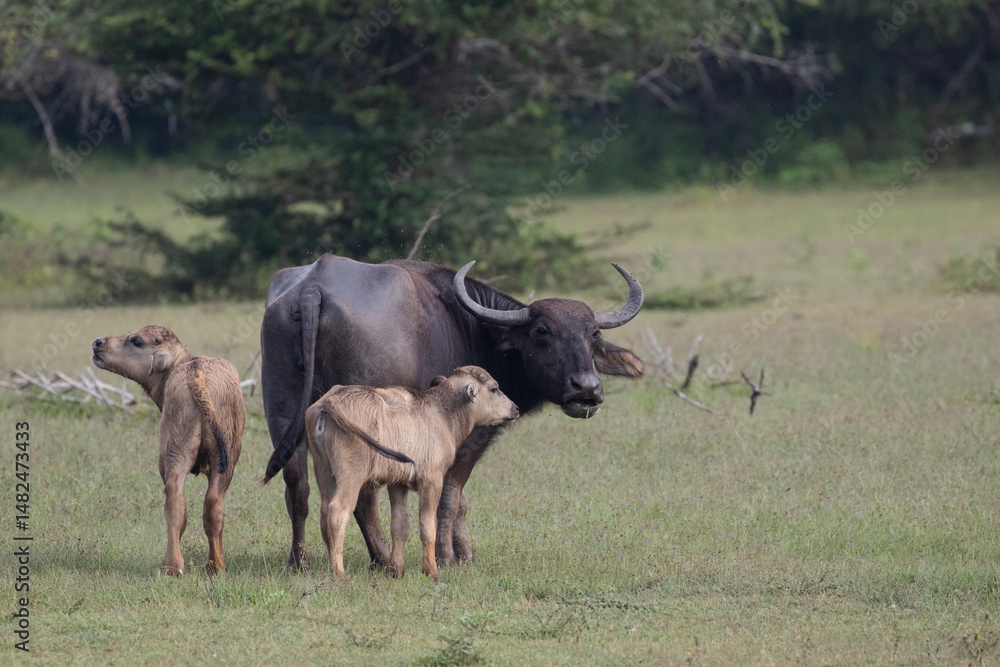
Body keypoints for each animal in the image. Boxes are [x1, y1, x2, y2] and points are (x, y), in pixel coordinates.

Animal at [91, 325, 245, 576]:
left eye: (136, 341)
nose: (98, 342)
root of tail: (196, 376)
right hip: (224, 461)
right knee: (212, 504)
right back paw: (215, 565)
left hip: (172, 454)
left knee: (174, 501)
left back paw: (172, 566)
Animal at [304, 366, 519, 580]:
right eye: (494, 388)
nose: (515, 408)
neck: (441, 415)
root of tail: (330, 401)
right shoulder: (432, 481)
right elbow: (427, 526)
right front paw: (431, 570)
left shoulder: (397, 484)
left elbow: (400, 526)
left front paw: (395, 570)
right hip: (351, 475)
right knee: (337, 511)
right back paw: (338, 572)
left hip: (323, 469)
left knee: (325, 511)